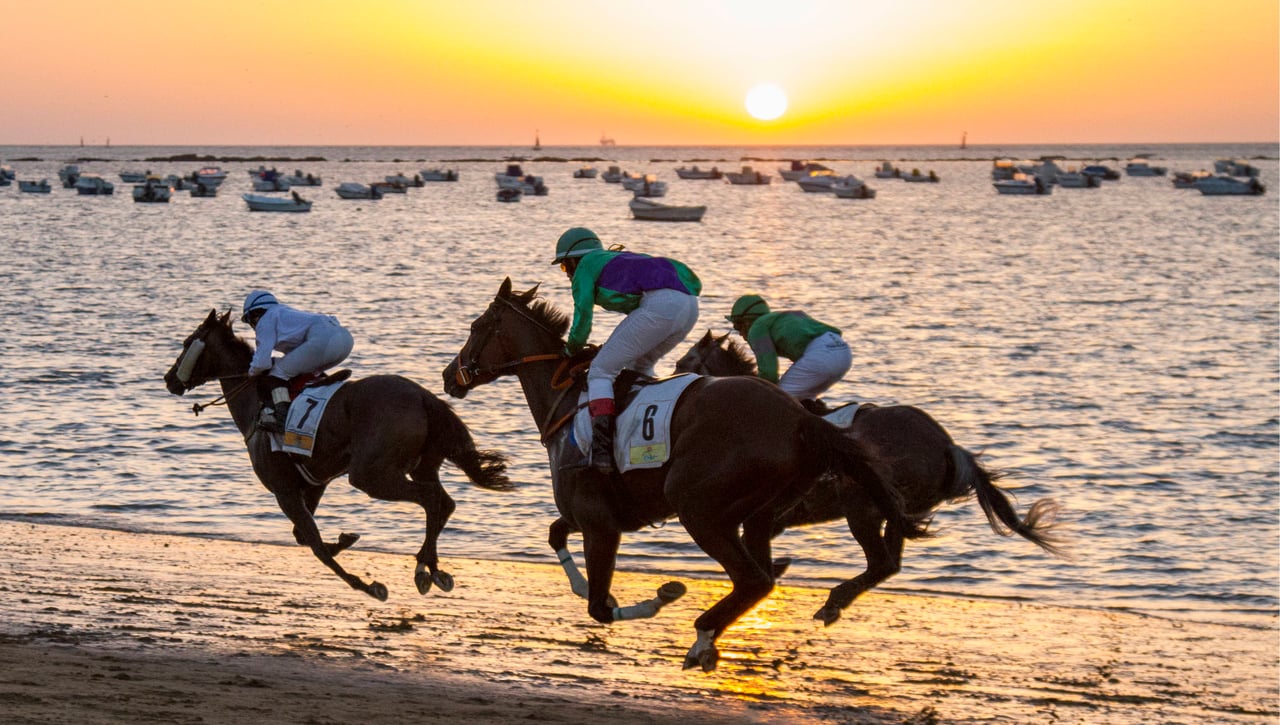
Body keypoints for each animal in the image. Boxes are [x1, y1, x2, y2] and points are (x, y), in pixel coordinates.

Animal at [163, 309, 513, 601]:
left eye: (186, 343)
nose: (169, 379)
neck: (255, 403)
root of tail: (423, 397)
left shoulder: (284, 490)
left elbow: (316, 547)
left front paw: (368, 585)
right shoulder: (314, 483)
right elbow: (303, 537)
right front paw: (345, 539)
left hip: (371, 474)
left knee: (430, 499)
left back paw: (422, 569)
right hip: (421, 465)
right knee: (444, 502)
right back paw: (434, 569)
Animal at [442, 278, 928, 671]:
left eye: (476, 326)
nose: (450, 375)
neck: (566, 400)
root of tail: (800, 418)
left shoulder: (599, 523)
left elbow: (599, 606)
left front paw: (661, 596)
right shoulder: (591, 513)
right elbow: (556, 536)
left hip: (700, 508)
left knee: (754, 578)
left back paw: (701, 637)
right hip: (758, 514)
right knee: (762, 577)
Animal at [673, 330, 1064, 625]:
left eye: (684, 362)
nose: (674, 375)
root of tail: (949, 447)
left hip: (861, 509)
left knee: (881, 562)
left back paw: (833, 602)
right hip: (898, 512)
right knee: (888, 564)